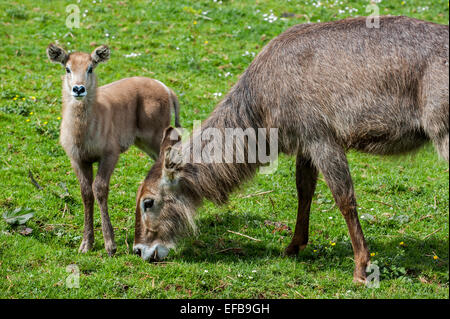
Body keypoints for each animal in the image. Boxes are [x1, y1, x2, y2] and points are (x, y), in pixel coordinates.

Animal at [45, 43, 179, 258]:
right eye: (67, 68)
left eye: (91, 68)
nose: (78, 88)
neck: (83, 137)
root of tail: (168, 90)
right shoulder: (77, 158)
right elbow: (85, 192)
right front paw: (86, 244)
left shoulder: (110, 152)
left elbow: (99, 188)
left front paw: (110, 246)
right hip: (144, 141)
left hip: (156, 132)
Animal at [133, 16, 446, 284]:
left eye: (148, 201)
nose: (139, 249)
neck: (261, 110)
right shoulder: (304, 143)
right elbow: (304, 191)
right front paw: (293, 245)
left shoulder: (322, 136)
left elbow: (344, 199)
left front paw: (361, 268)